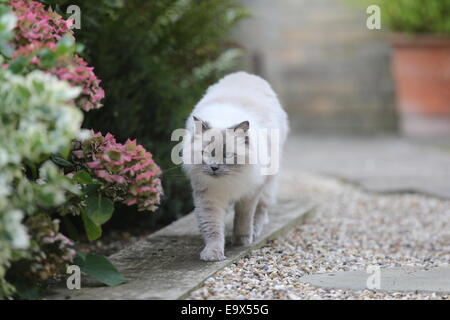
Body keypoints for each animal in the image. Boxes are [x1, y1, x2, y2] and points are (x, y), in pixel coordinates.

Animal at [182, 71, 288, 262]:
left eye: (227, 155)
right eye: (206, 153)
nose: (214, 167)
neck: (228, 182)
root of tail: (244, 74)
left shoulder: (250, 192)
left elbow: (243, 219)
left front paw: (242, 241)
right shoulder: (209, 197)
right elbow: (213, 228)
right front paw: (213, 254)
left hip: (268, 181)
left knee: (261, 209)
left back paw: (255, 231)